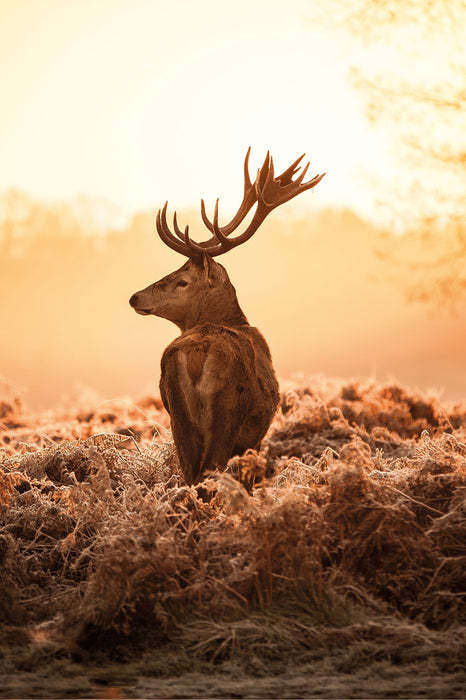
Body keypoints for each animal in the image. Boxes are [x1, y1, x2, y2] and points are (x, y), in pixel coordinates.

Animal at [127, 148, 324, 486]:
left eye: (182, 281)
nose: (135, 297)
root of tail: (196, 353)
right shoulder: (254, 437)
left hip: (177, 415)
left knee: (191, 474)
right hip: (226, 413)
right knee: (209, 472)